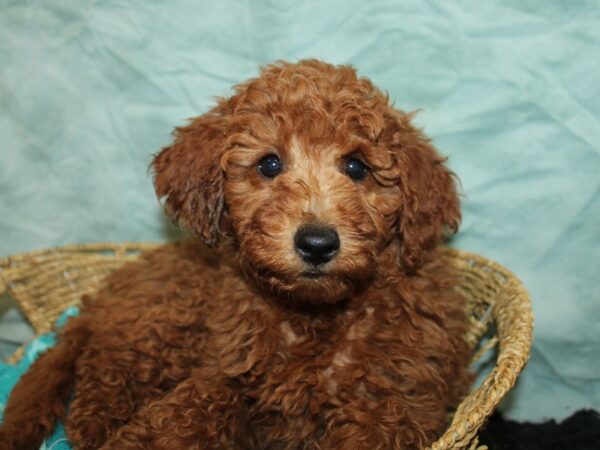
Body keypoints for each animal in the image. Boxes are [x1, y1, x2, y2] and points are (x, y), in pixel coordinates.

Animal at [1, 60, 474, 450]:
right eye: (269, 164)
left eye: (357, 167)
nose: (317, 243)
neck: (313, 317)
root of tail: (98, 299)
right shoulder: (229, 374)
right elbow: (183, 416)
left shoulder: (390, 404)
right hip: (160, 325)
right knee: (99, 375)